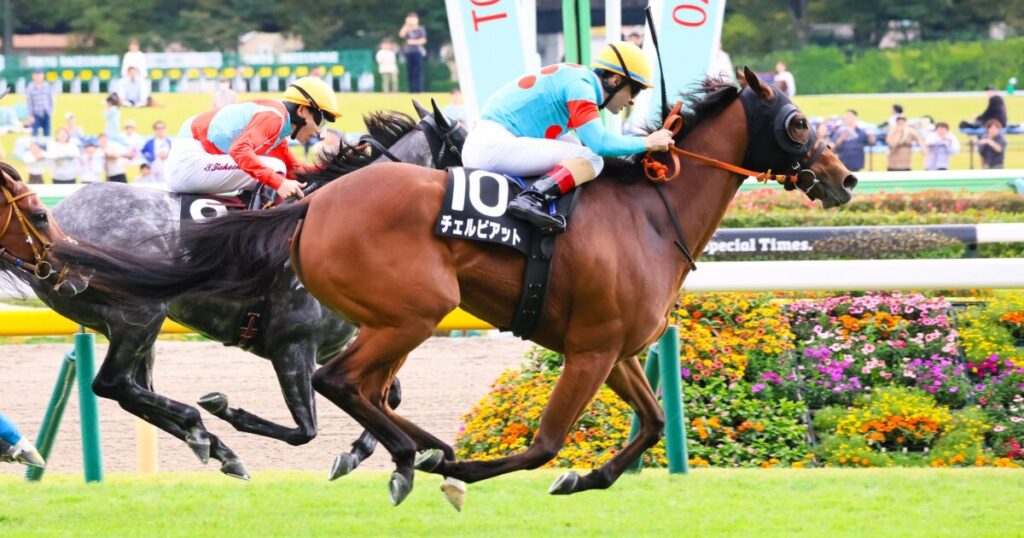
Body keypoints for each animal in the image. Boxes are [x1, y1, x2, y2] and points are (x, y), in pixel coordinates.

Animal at [2, 103, 465, 479]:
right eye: (463, 147)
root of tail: (50, 227)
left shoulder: (336, 343)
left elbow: (389, 396)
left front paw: (362, 454)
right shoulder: (292, 345)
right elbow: (305, 430)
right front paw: (226, 409)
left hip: (130, 325)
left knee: (133, 391)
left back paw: (211, 443)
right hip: (140, 315)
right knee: (113, 384)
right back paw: (201, 428)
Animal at [53, 69, 856, 504]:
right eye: (797, 121)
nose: (845, 177)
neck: (650, 213)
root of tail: (310, 203)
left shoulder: (618, 348)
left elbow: (654, 423)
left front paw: (582, 480)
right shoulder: (590, 350)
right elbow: (543, 443)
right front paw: (468, 466)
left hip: (390, 318)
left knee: (357, 391)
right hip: (413, 310)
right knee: (340, 383)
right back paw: (406, 459)